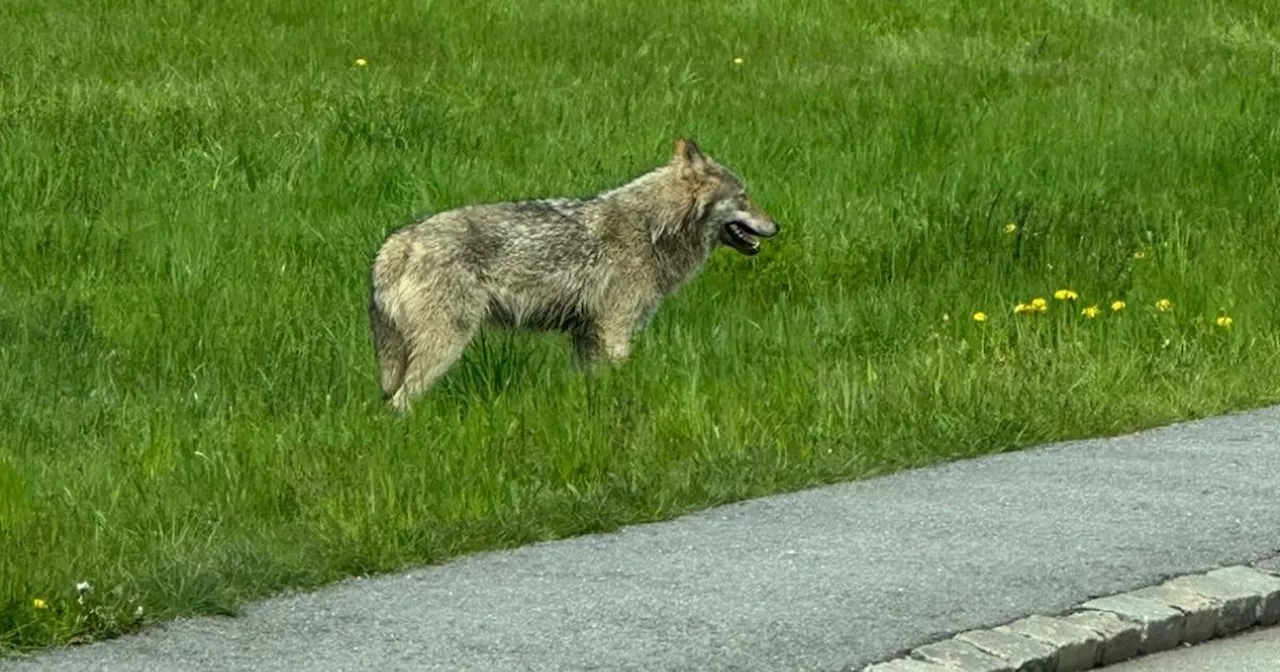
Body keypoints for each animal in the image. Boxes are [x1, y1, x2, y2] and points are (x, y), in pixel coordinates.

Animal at [366, 136, 773, 409]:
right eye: (744, 197)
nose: (778, 226)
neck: (653, 228)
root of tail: (400, 241)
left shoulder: (584, 336)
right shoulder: (615, 330)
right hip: (445, 346)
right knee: (399, 402)